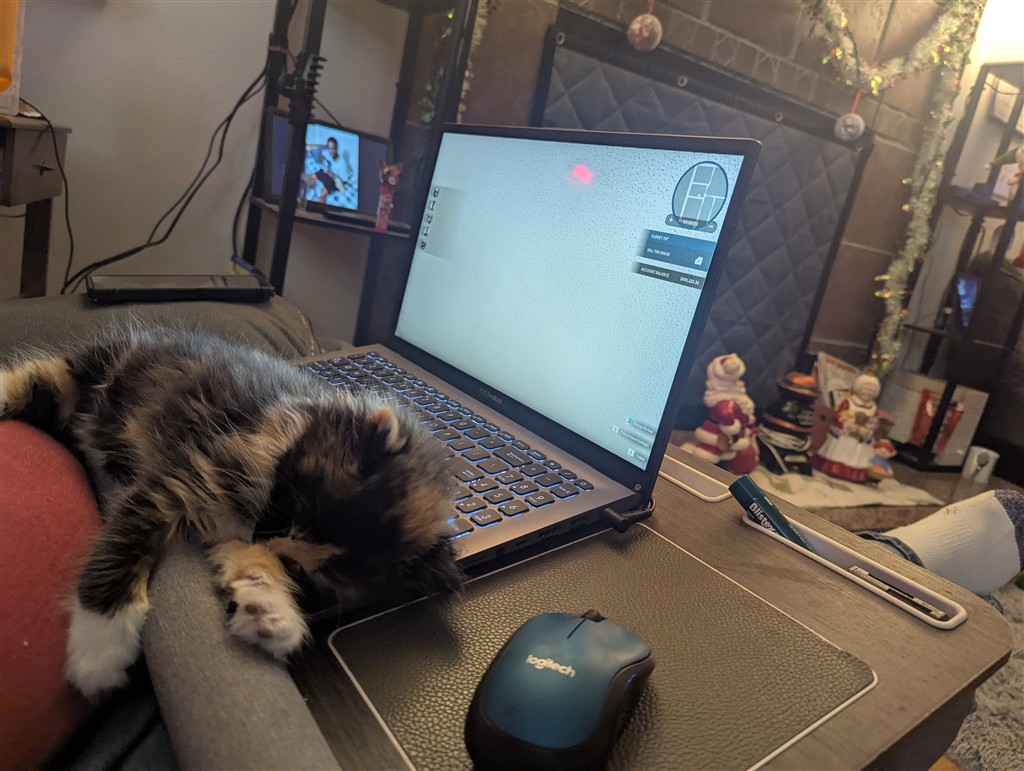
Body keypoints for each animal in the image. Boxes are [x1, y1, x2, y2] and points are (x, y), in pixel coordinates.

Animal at [0, 327, 462, 698]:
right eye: (289, 505)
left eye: (299, 569)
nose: (258, 534)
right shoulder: (182, 478)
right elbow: (123, 545)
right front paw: (100, 646)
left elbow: (246, 557)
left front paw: (269, 608)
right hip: (85, 375)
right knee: (33, 379)